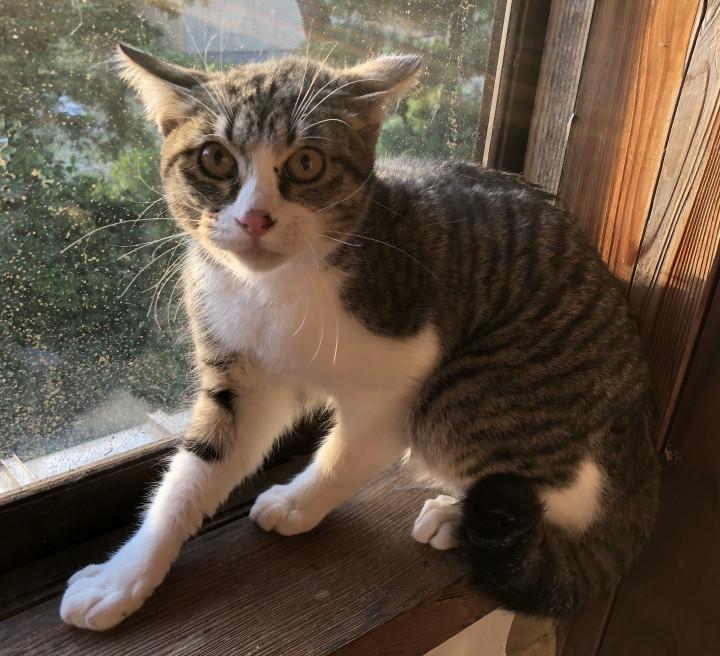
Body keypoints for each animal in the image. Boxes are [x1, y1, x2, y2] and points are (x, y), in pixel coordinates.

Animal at [60, 43, 660, 630]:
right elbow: (194, 471)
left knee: (544, 489)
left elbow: (348, 455)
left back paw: (456, 516)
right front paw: (124, 577)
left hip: (473, 392)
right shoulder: (241, 376)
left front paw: (297, 504)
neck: (276, 288)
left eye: (306, 163)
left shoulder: (401, 378)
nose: (255, 219)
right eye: (215, 158)